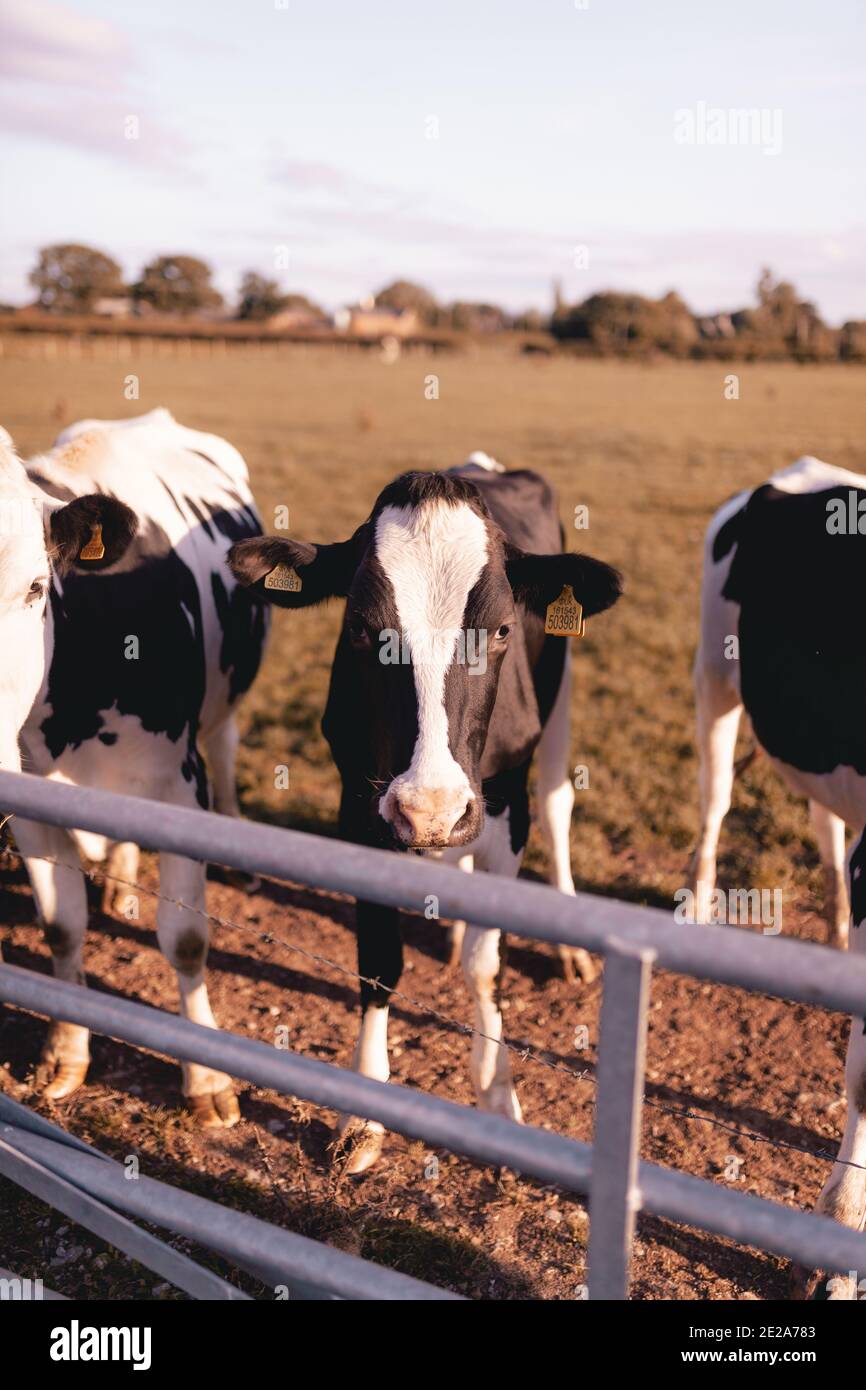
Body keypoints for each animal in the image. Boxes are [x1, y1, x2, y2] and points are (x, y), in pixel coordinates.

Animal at [0, 408, 267, 1126]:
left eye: (35, 587)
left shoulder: (180, 789)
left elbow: (186, 940)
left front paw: (206, 1078)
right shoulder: (27, 800)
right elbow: (62, 927)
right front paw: (65, 1053)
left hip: (223, 712)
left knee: (227, 745)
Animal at [228, 455, 622, 1172]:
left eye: (501, 629)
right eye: (360, 627)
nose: (429, 806)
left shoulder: (505, 803)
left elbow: (488, 966)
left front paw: (496, 1094)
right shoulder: (359, 809)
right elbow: (379, 964)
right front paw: (361, 1116)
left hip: (557, 704)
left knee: (558, 802)